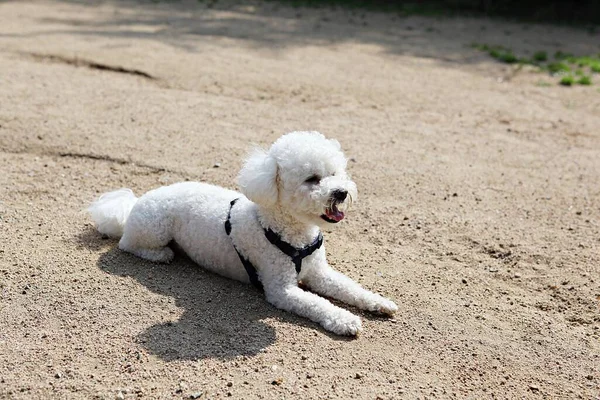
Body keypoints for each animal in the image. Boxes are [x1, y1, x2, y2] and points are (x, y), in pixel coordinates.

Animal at [88, 131, 398, 334]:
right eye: (312, 179)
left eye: (334, 173)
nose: (341, 192)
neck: (288, 230)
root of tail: (133, 204)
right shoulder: (281, 290)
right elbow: (317, 303)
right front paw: (345, 320)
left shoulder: (320, 272)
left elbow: (350, 287)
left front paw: (379, 302)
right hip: (155, 228)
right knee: (128, 244)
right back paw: (160, 255)